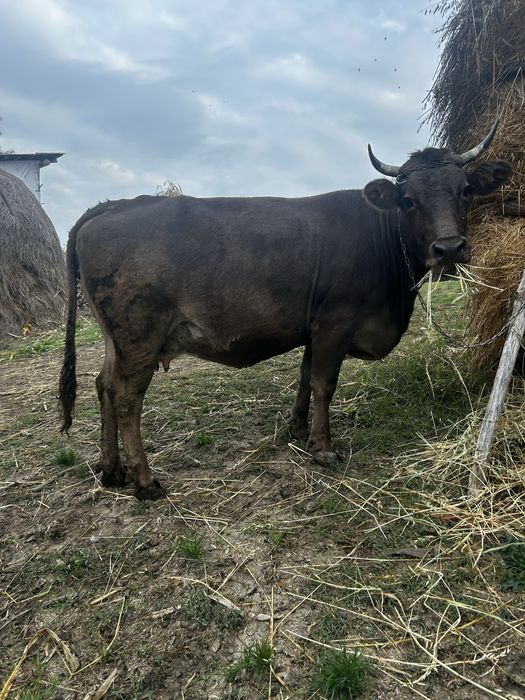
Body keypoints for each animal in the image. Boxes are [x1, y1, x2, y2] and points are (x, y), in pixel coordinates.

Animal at [59, 123, 511, 500]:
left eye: (464, 190)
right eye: (407, 200)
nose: (449, 249)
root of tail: (113, 205)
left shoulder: (314, 327)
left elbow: (305, 378)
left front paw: (297, 429)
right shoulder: (336, 322)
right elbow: (324, 383)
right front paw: (324, 448)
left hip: (115, 339)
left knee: (102, 385)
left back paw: (111, 471)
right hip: (139, 336)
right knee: (125, 398)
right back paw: (145, 481)